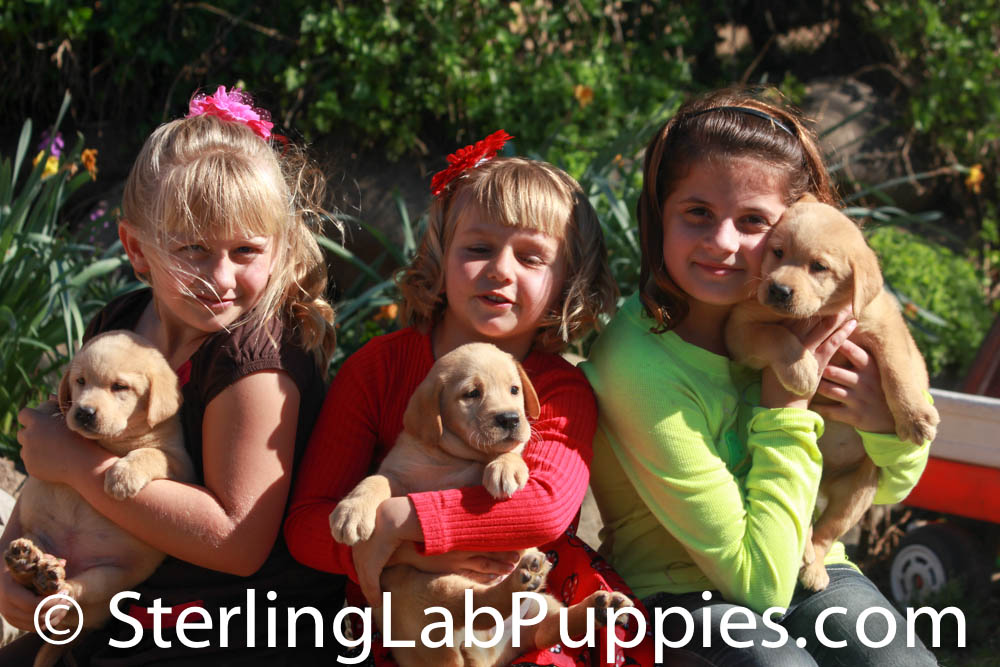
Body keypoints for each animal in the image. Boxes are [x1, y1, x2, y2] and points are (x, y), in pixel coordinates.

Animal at [4, 330, 194, 667]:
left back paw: (49, 578)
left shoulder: (180, 463)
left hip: (111, 579)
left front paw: (122, 476)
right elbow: (50, 407)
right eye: (80, 381)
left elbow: (151, 453)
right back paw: (26, 562)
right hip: (35, 535)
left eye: (120, 387)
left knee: (74, 591)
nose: (83, 412)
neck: (109, 443)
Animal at [330, 342, 631, 667]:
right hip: (420, 587)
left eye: (514, 389)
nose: (510, 418)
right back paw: (525, 583)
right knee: (477, 605)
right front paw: (350, 514)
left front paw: (505, 468)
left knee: (548, 629)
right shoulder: (398, 475)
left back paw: (601, 607)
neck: (459, 457)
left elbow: (513, 450)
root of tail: (487, 654)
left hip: (541, 605)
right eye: (472, 393)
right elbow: (375, 480)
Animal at [725, 195, 939, 591]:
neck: (819, 314)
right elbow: (776, 335)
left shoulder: (885, 326)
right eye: (777, 252)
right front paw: (803, 370)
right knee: (805, 521)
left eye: (819, 267)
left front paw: (915, 417)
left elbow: (898, 367)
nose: (778, 290)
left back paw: (814, 567)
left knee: (826, 531)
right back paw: (807, 559)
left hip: (860, 492)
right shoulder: (740, 330)